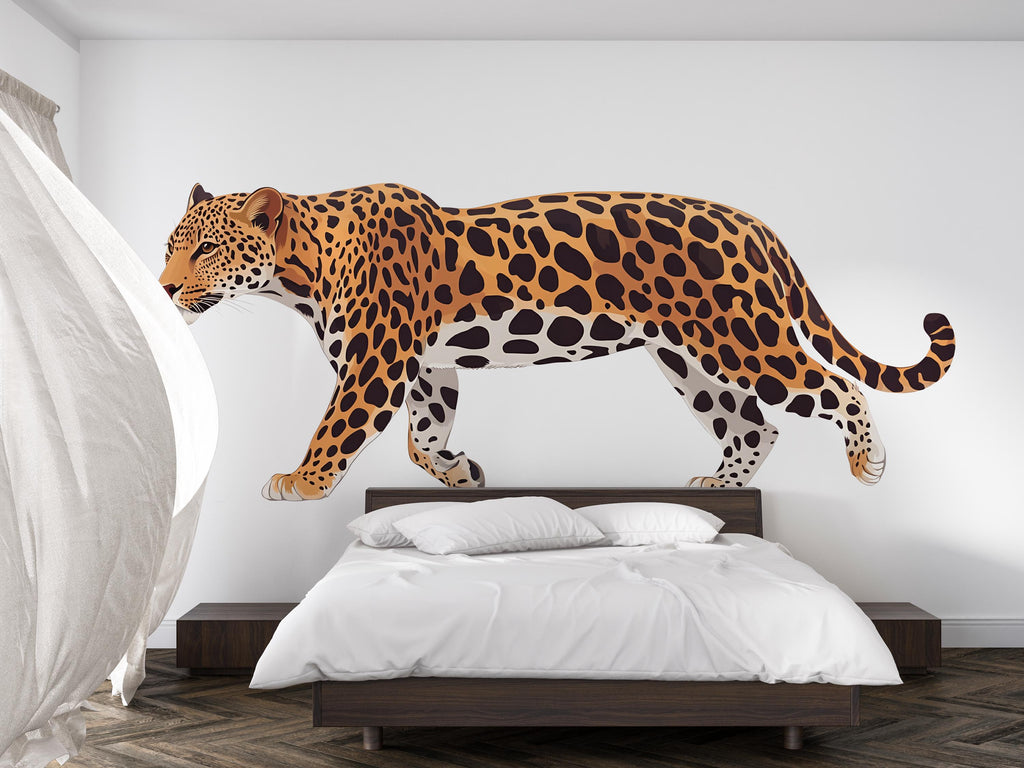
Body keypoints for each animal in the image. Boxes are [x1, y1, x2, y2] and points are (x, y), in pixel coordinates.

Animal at [159, 182, 955, 500]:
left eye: (204, 250)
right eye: (172, 247)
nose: (164, 288)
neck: (299, 275)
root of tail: (758, 225)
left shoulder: (376, 365)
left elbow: (337, 428)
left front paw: (300, 482)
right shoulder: (427, 367)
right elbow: (422, 437)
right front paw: (464, 474)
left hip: (743, 338)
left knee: (833, 387)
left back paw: (869, 462)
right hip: (688, 356)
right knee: (753, 426)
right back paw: (717, 487)